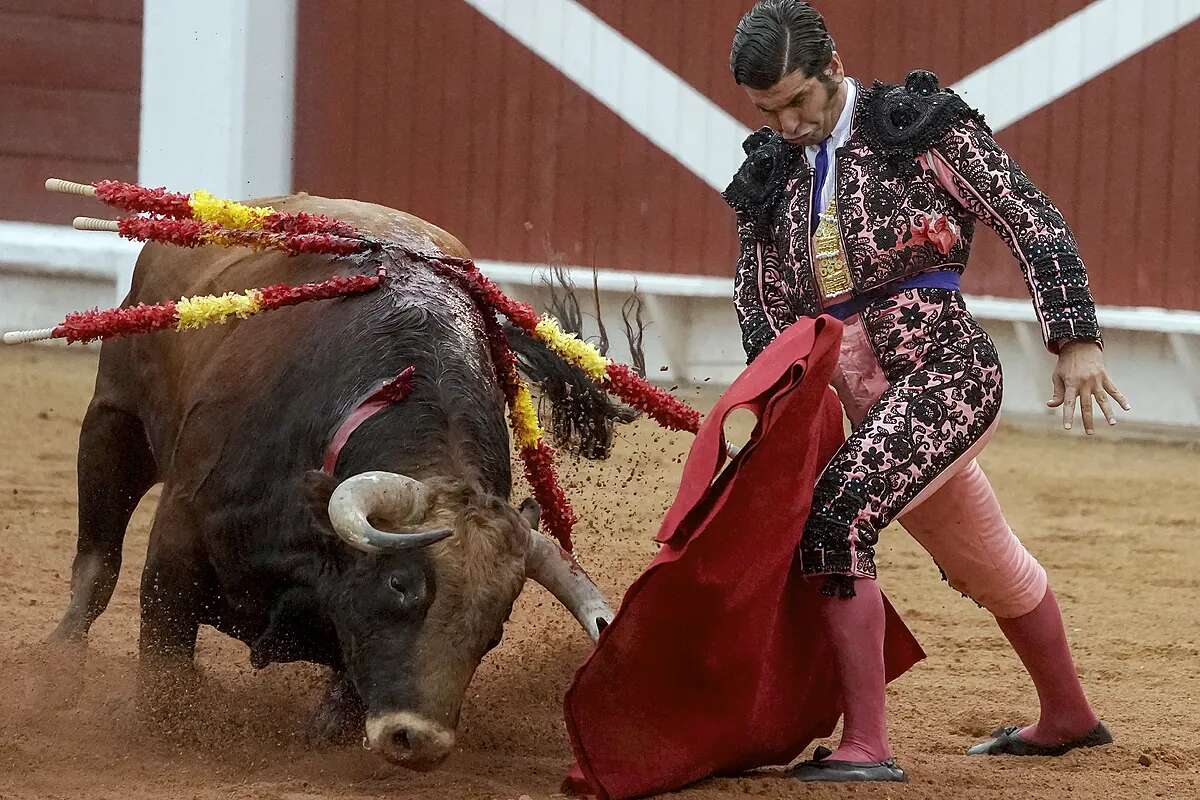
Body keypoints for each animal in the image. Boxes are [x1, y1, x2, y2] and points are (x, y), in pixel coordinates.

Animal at [48, 194, 628, 767]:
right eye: (399, 584)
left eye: (498, 625)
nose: (419, 741)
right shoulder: (179, 539)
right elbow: (163, 651)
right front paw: (166, 725)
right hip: (114, 419)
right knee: (97, 564)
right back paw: (56, 669)